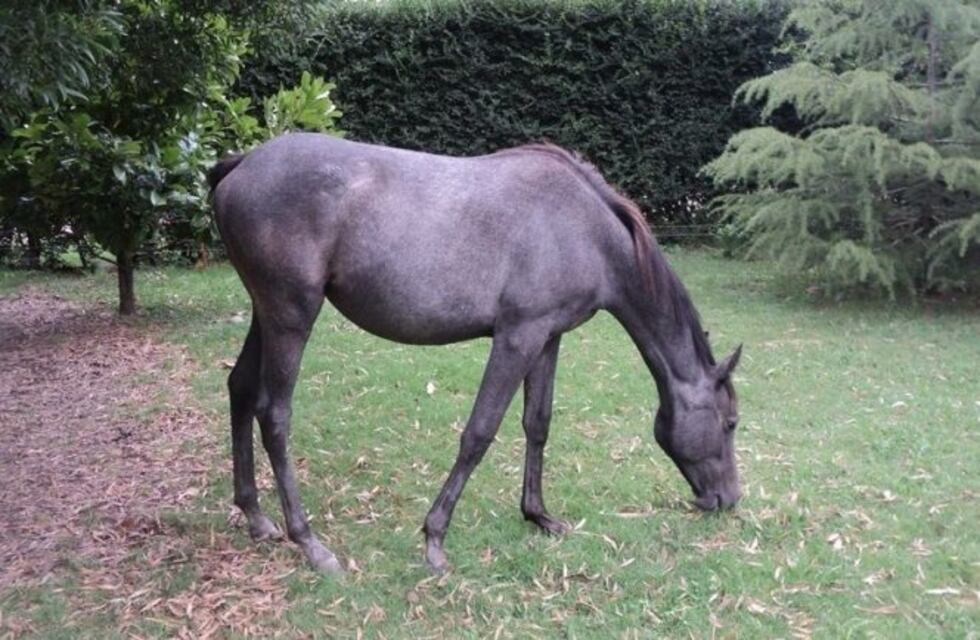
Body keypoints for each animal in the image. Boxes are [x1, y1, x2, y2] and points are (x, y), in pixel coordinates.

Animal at [209, 133, 742, 573]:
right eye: (731, 422)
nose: (729, 499)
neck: (586, 230)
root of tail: (243, 163)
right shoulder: (516, 337)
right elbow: (479, 433)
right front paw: (434, 539)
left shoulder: (547, 337)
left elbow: (538, 424)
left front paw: (539, 515)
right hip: (291, 317)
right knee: (274, 415)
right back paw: (309, 542)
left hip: (266, 315)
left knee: (240, 388)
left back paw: (256, 517)